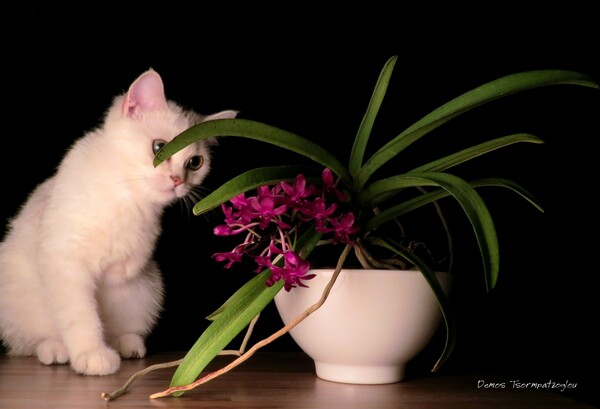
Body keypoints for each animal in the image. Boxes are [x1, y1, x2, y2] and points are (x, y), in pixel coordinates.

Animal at [0, 69, 238, 372]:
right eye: (159, 147)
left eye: (195, 163)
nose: (177, 181)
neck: (126, 193)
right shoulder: (64, 260)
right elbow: (81, 315)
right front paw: (92, 354)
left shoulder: (134, 260)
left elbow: (122, 269)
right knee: (29, 342)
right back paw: (54, 348)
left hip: (148, 286)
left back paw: (127, 344)